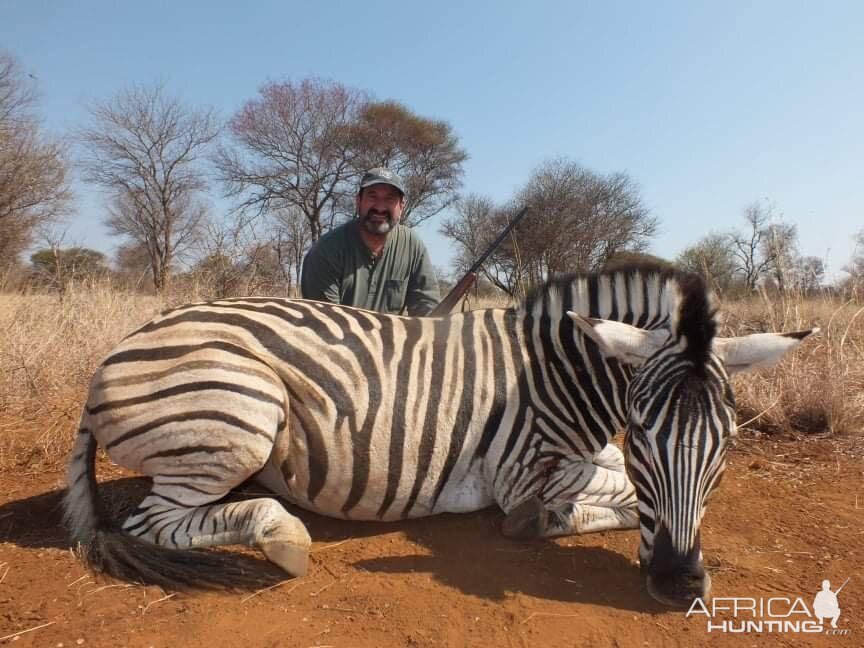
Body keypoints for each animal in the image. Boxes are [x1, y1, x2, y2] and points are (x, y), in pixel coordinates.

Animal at [64, 260, 812, 604]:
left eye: (727, 446)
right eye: (645, 439)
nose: (678, 586)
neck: (557, 369)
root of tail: (115, 354)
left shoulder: (586, 455)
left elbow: (616, 485)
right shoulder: (524, 472)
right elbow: (611, 500)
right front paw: (551, 521)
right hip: (243, 410)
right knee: (150, 523)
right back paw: (283, 536)